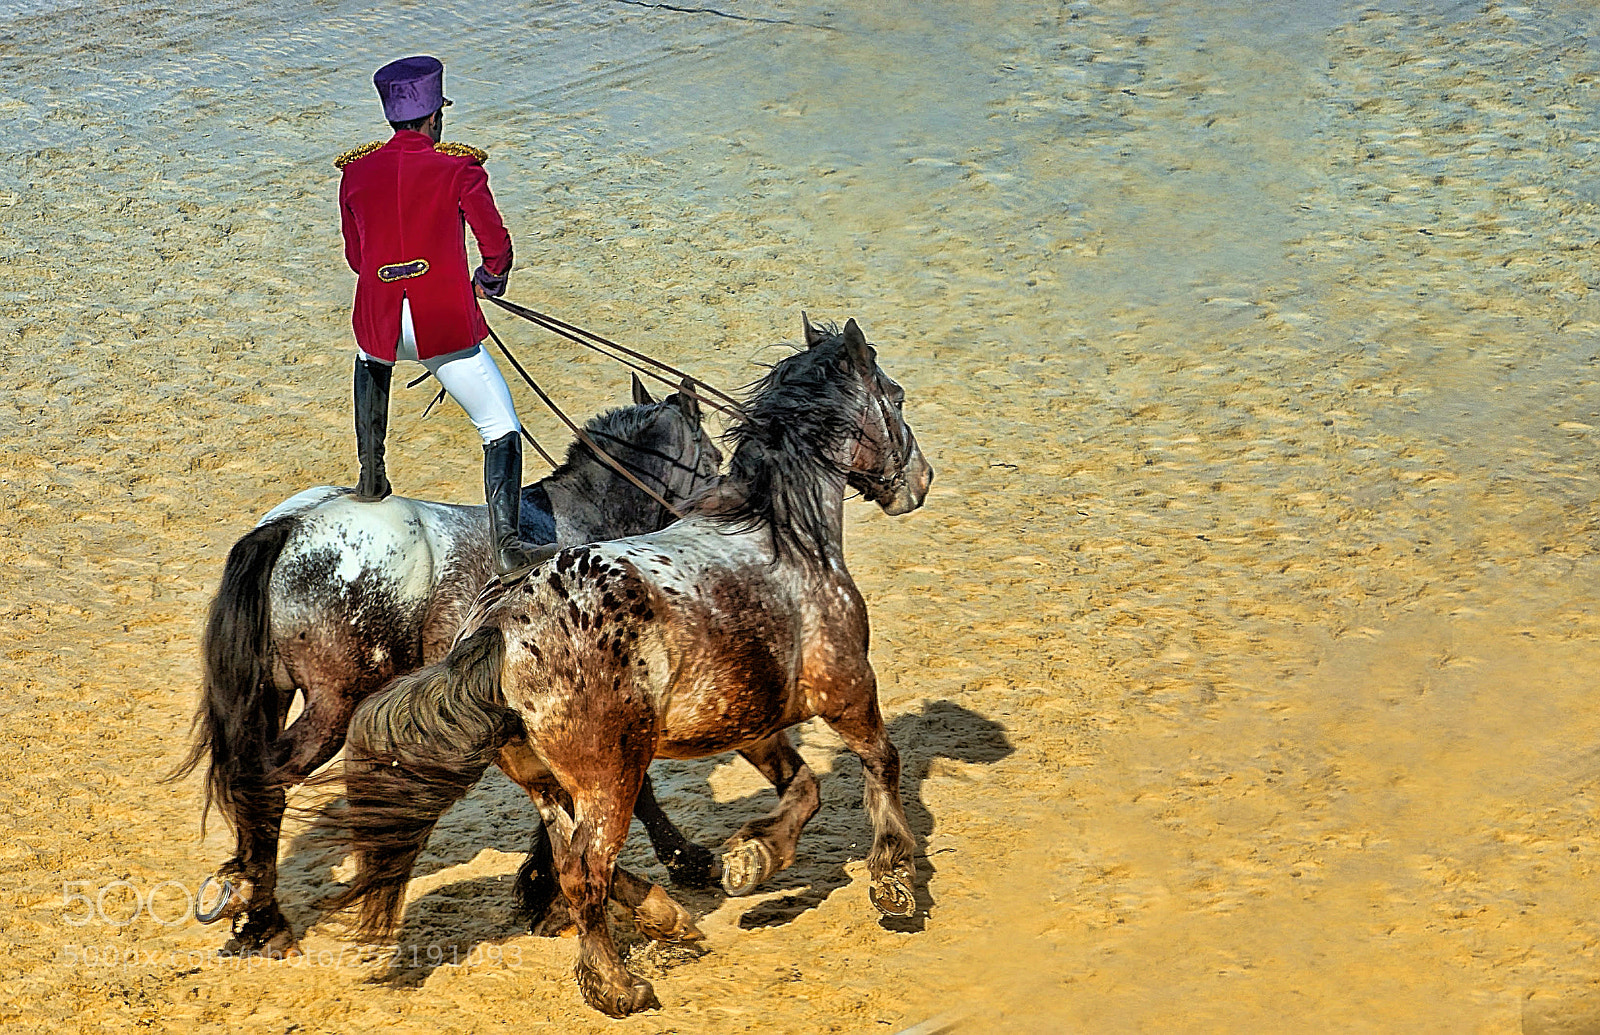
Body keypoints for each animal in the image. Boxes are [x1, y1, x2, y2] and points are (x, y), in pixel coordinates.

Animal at [170, 377, 724, 957]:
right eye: (713, 457)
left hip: (274, 695)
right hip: (336, 705)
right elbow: (627, 792)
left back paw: (249, 910)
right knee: (266, 783)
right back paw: (265, 919)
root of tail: (290, 527)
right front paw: (682, 864)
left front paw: (544, 888)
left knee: (249, 780)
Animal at [320, 317, 933, 1016]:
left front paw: (751, 858)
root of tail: (499, 631)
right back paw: (615, 982)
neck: (781, 531)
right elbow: (881, 765)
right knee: (588, 868)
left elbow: (804, 788)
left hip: (549, 783)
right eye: (896, 396)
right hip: (607, 778)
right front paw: (894, 881)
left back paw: (664, 919)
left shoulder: (752, 719)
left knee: (572, 860)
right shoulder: (848, 690)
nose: (921, 478)